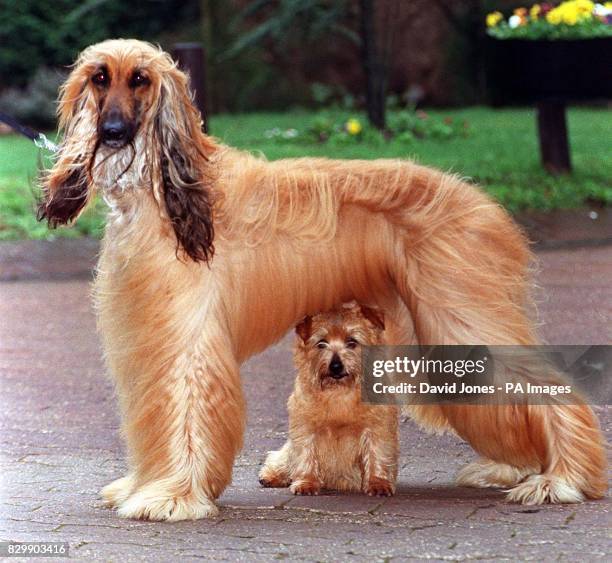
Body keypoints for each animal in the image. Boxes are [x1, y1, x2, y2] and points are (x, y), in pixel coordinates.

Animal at [39, 40, 608, 524]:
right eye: (98, 77)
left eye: (139, 79)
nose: (112, 132)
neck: (166, 190)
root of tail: (484, 205)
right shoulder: (150, 334)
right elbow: (152, 409)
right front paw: (144, 485)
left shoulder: (187, 337)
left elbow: (183, 407)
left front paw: (173, 495)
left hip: (463, 312)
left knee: (546, 388)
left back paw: (561, 478)